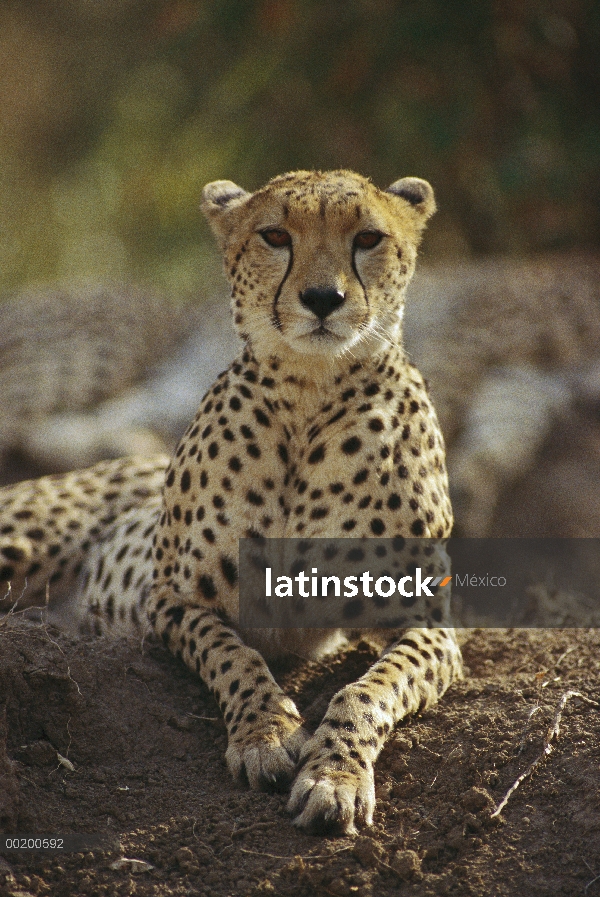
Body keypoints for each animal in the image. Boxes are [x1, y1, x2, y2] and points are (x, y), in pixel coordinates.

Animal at [0, 170, 460, 832]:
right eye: (276, 236)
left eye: (369, 237)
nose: (323, 298)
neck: (310, 392)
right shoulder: (172, 599)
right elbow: (234, 657)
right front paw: (266, 736)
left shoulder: (428, 624)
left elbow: (369, 690)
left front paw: (335, 776)